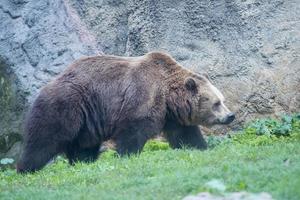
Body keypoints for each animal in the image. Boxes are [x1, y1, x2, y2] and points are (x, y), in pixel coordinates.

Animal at [16, 52, 236, 173]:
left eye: (222, 100)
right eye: (216, 103)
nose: (230, 115)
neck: (169, 96)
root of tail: (46, 86)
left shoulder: (172, 116)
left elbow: (185, 135)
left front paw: (202, 148)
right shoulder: (142, 96)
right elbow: (133, 132)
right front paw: (126, 156)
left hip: (86, 123)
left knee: (83, 147)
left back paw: (82, 163)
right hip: (66, 106)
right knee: (44, 140)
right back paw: (25, 168)